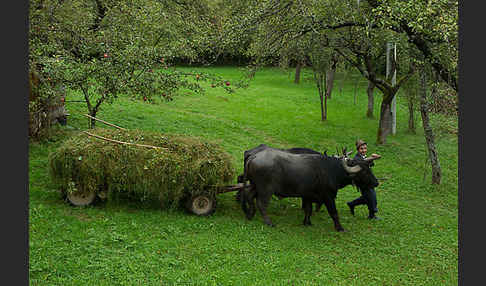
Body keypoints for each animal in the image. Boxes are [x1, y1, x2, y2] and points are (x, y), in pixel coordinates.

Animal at [241, 149, 378, 231]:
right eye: (364, 171)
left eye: (369, 168)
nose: (376, 182)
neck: (331, 170)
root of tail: (254, 156)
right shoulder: (328, 196)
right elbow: (334, 212)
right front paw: (340, 228)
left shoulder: (307, 195)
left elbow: (308, 209)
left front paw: (307, 222)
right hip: (266, 189)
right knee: (261, 203)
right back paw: (269, 222)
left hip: (255, 185)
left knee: (248, 195)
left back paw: (249, 214)